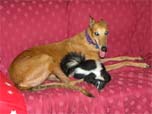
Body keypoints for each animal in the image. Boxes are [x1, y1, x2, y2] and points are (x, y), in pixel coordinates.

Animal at [8, 16, 150, 96]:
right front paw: (141, 64)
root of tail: (15, 81)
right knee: (68, 81)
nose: (104, 48)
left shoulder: (100, 58)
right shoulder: (97, 65)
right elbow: (121, 62)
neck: (89, 40)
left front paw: (137, 58)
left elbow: (120, 57)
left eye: (107, 32)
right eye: (96, 33)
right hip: (47, 58)